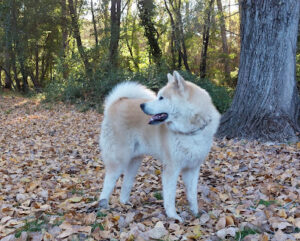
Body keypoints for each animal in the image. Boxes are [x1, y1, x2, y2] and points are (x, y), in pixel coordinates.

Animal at [99, 70, 219, 221]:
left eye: (161, 98)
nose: (142, 106)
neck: (191, 132)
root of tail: (116, 102)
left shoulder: (192, 169)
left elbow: (192, 195)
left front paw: (195, 214)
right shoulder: (171, 168)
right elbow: (170, 196)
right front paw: (174, 217)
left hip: (134, 161)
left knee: (126, 183)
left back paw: (125, 203)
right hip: (119, 160)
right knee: (108, 183)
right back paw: (103, 206)